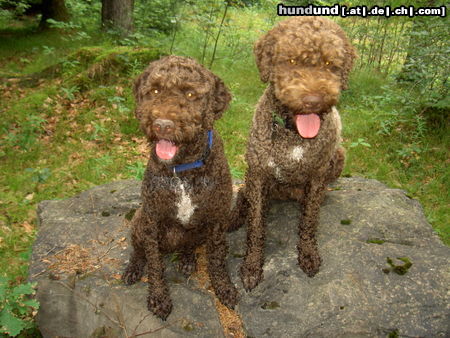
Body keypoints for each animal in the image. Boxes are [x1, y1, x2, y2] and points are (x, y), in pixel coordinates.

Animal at [121, 55, 237, 320]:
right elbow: (154, 266)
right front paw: (159, 298)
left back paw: (186, 259)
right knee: (139, 251)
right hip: (139, 222)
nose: (163, 125)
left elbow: (217, 259)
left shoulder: (217, 219)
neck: (182, 170)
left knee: (188, 245)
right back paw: (133, 268)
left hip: (199, 230)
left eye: (191, 94)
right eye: (154, 90)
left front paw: (224, 288)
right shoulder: (152, 220)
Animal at [232, 16, 356, 290]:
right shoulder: (257, 173)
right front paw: (252, 266)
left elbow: (309, 219)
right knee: (243, 196)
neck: (294, 134)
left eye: (329, 64)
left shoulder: (317, 176)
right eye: (290, 61)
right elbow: (256, 225)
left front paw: (308, 253)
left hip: (339, 156)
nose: (313, 100)